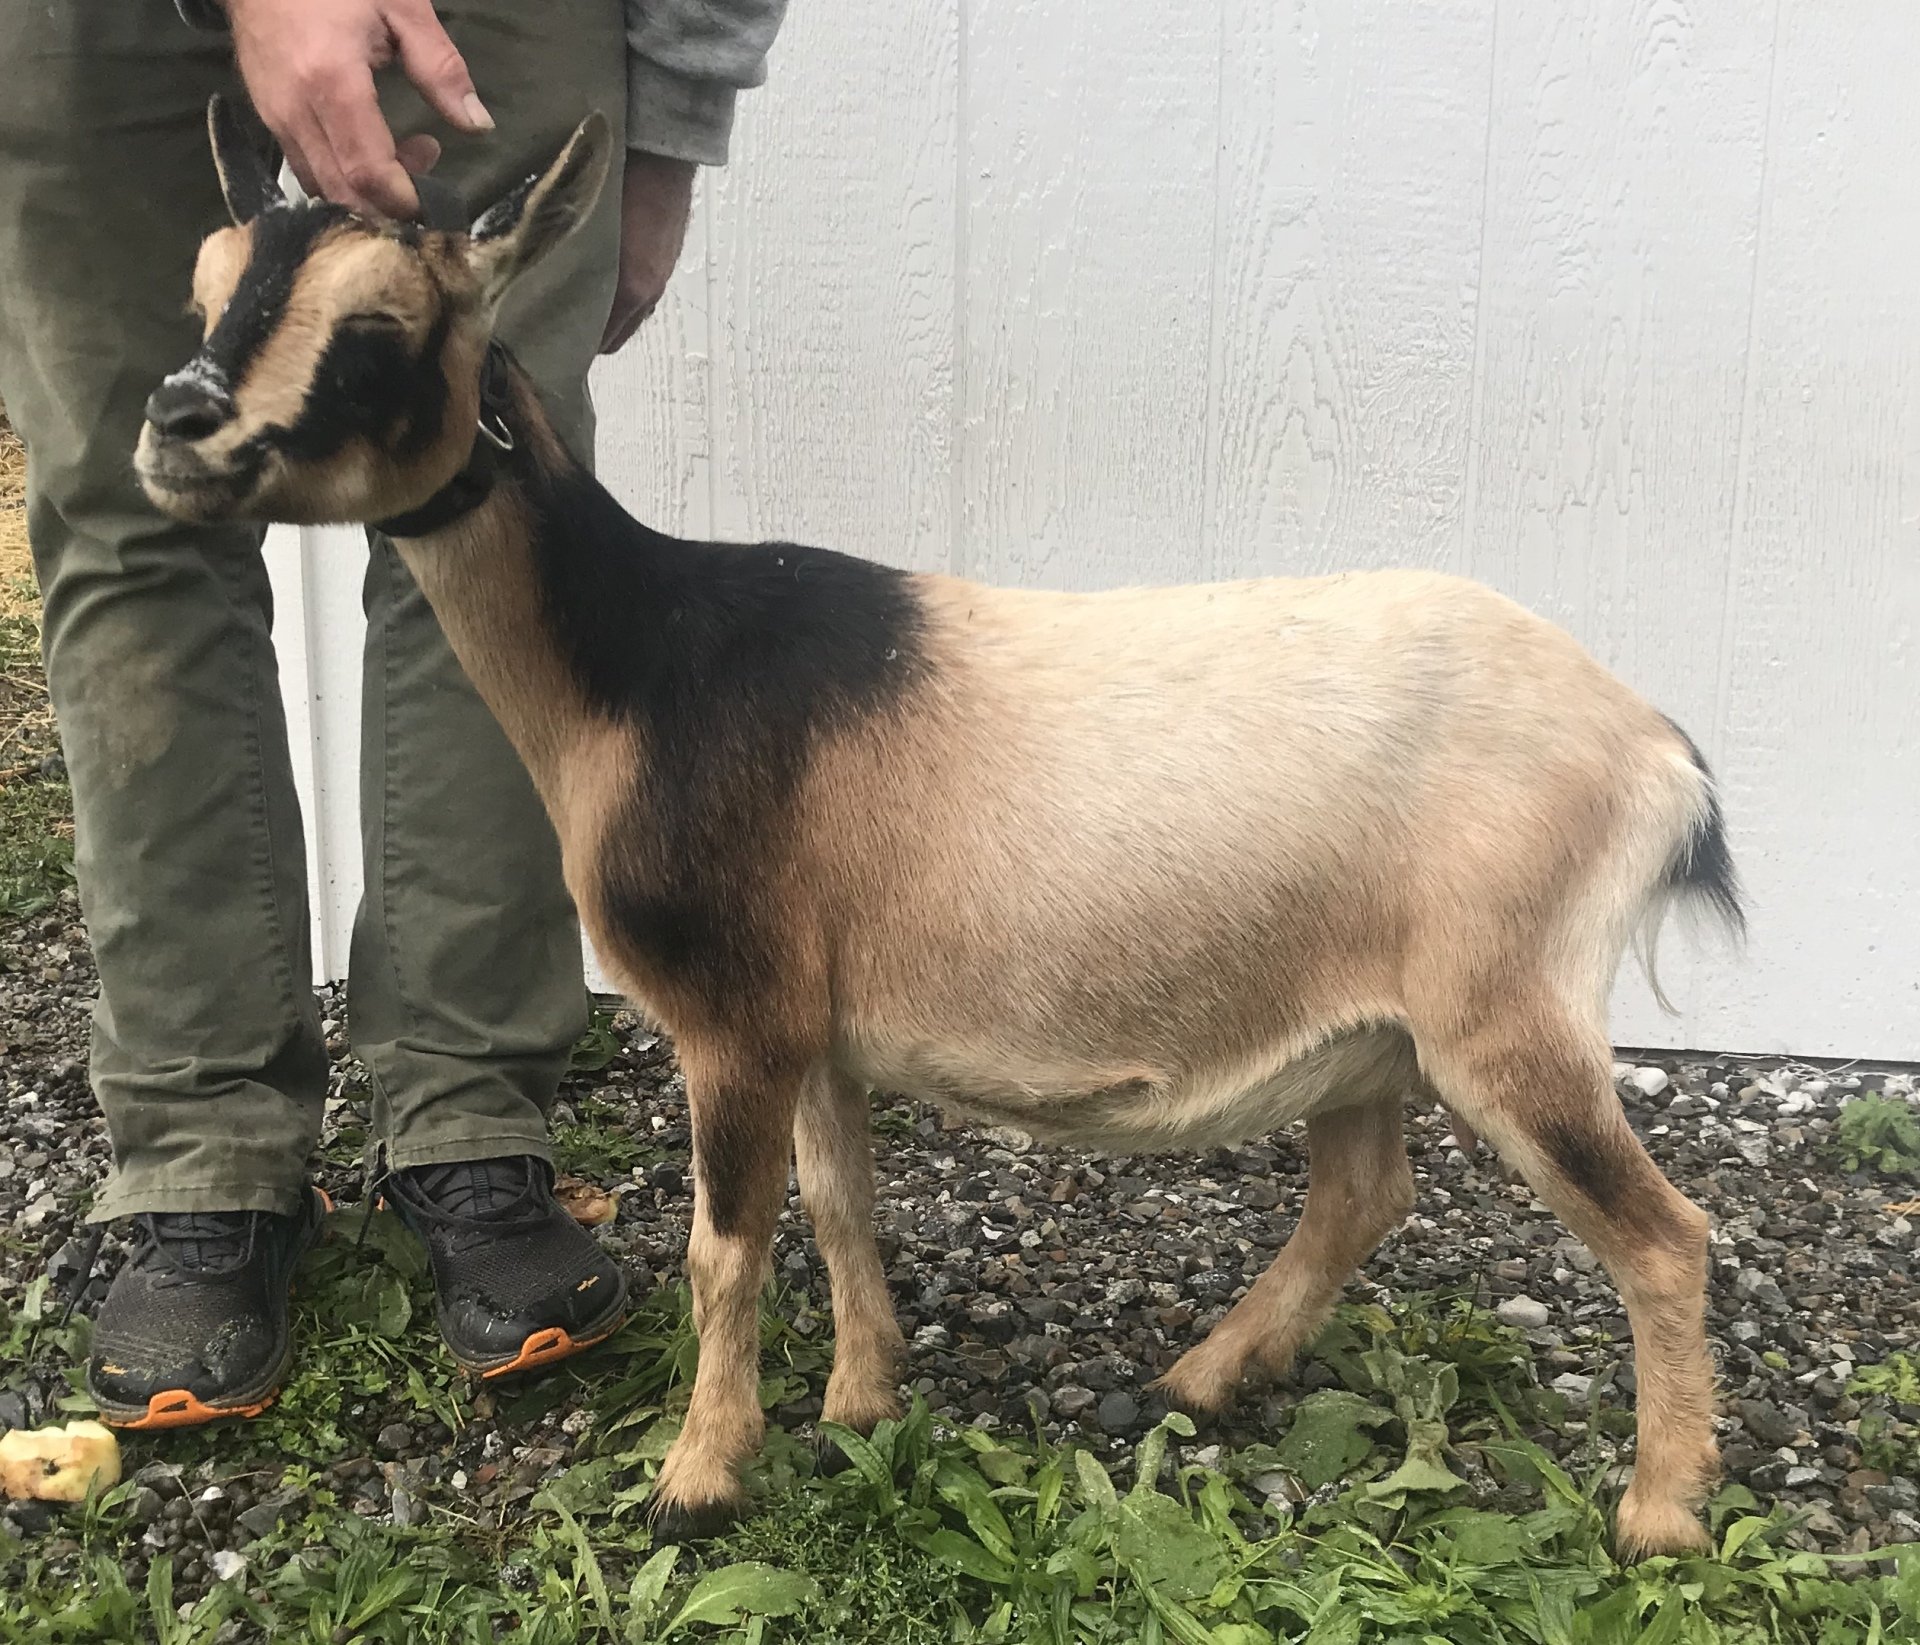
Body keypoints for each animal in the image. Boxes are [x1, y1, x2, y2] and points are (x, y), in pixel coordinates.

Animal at [136, 100, 1744, 1558]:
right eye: (205, 289)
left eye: (378, 326)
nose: (178, 425)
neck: (643, 664)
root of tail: (1659, 752)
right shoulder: (816, 1022)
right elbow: (840, 1200)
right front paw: (861, 1397)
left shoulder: (734, 1015)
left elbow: (727, 1246)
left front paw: (699, 1479)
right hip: (1370, 1027)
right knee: (1364, 1192)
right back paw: (1205, 1376)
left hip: (1506, 1009)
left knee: (1664, 1235)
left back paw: (1658, 1516)